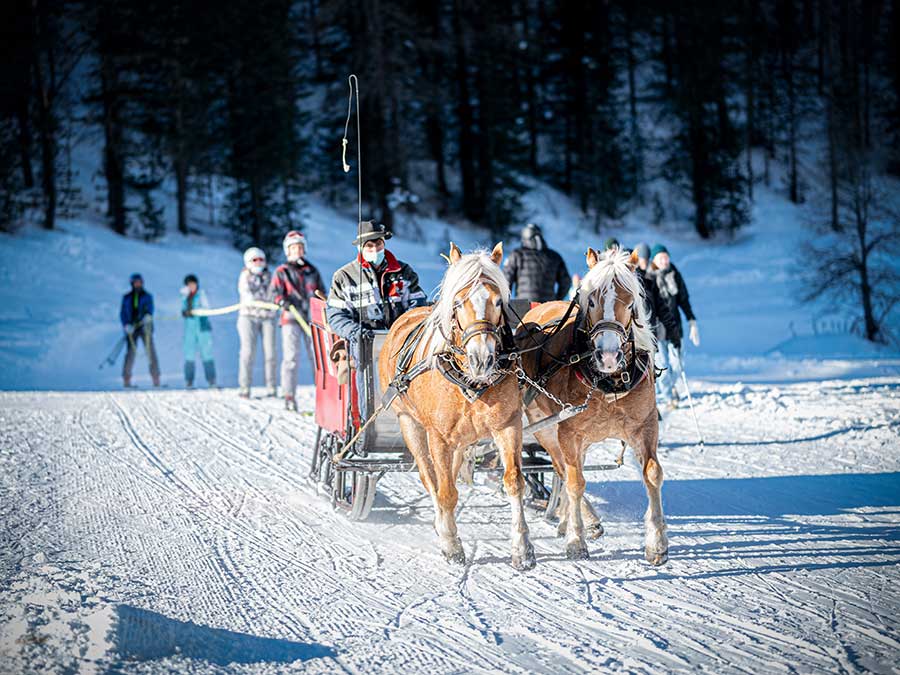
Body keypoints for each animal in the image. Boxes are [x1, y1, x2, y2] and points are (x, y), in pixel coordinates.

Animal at [378, 242, 536, 570]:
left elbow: (514, 482)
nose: (482, 358)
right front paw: (451, 544)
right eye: (460, 301)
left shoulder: (508, 425)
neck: (470, 381)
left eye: (498, 300)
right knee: (431, 479)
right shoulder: (438, 437)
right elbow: (446, 492)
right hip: (410, 425)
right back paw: (442, 526)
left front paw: (522, 548)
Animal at [517, 247, 668, 565]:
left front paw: (657, 543)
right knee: (563, 470)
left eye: (630, 300)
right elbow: (575, 481)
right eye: (590, 300)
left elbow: (652, 474)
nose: (608, 356)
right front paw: (577, 540)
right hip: (545, 429)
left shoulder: (645, 425)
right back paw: (581, 521)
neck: (608, 382)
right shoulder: (568, 432)